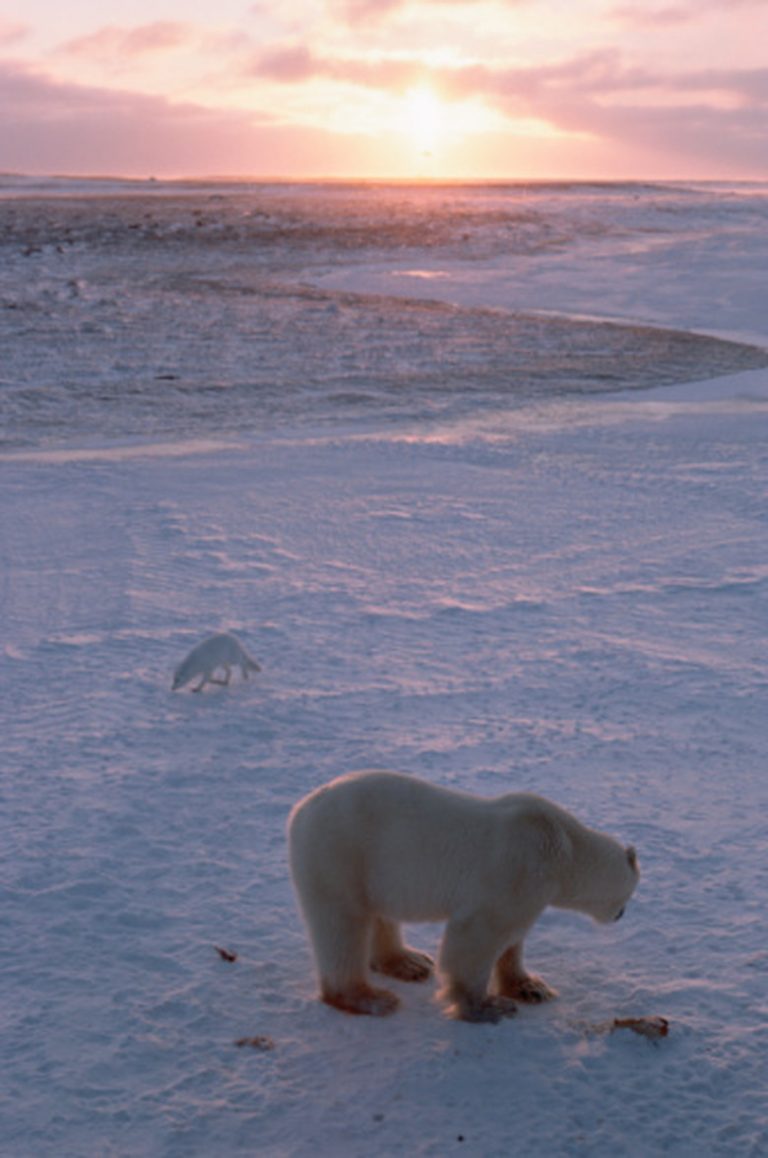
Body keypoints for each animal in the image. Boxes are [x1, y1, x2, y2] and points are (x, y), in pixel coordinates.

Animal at [284, 768, 639, 1023]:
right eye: (631, 893)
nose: (622, 914)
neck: (563, 846)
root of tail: (300, 811)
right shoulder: (518, 872)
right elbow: (477, 936)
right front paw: (487, 1007)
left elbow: (513, 939)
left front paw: (531, 987)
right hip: (339, 854)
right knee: (342, 924)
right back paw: (369, 997)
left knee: (378, 915)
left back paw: (408, 962)